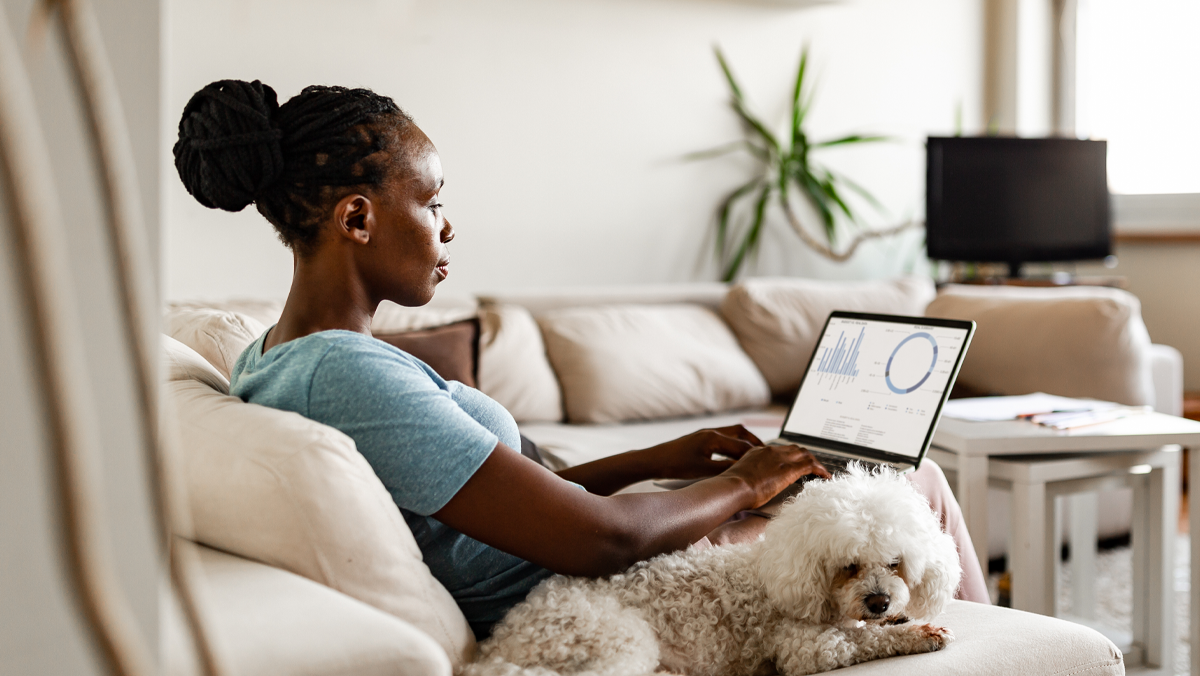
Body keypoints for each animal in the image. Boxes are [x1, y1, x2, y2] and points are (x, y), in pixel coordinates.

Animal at [463, 465, 960, 676]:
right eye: (848, 566)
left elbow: (871, 629)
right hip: (620, 640)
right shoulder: (803, 646)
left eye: (895, 563)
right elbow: (864, 640)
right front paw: (918, 633)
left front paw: (902, 620)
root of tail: (497, 646)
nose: (879, 602)